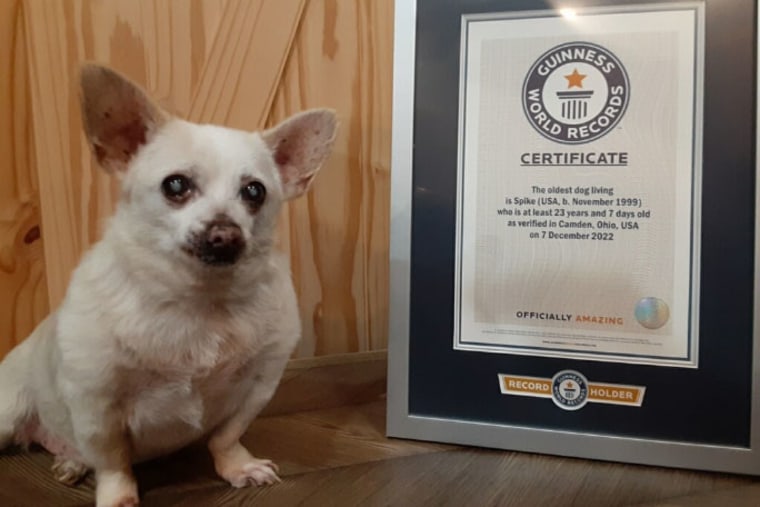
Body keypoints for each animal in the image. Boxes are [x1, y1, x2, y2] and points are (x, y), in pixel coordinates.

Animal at [0, 64, 336, 507]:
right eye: (175, 185)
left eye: (255, 192)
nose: (225, 233)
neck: (200, 302)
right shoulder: (96, 406)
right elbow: (113, 462)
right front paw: (118, 497)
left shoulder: (257, 386)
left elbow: (226, 438)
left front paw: (238, 467)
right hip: (7, 412)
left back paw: (70, 462)